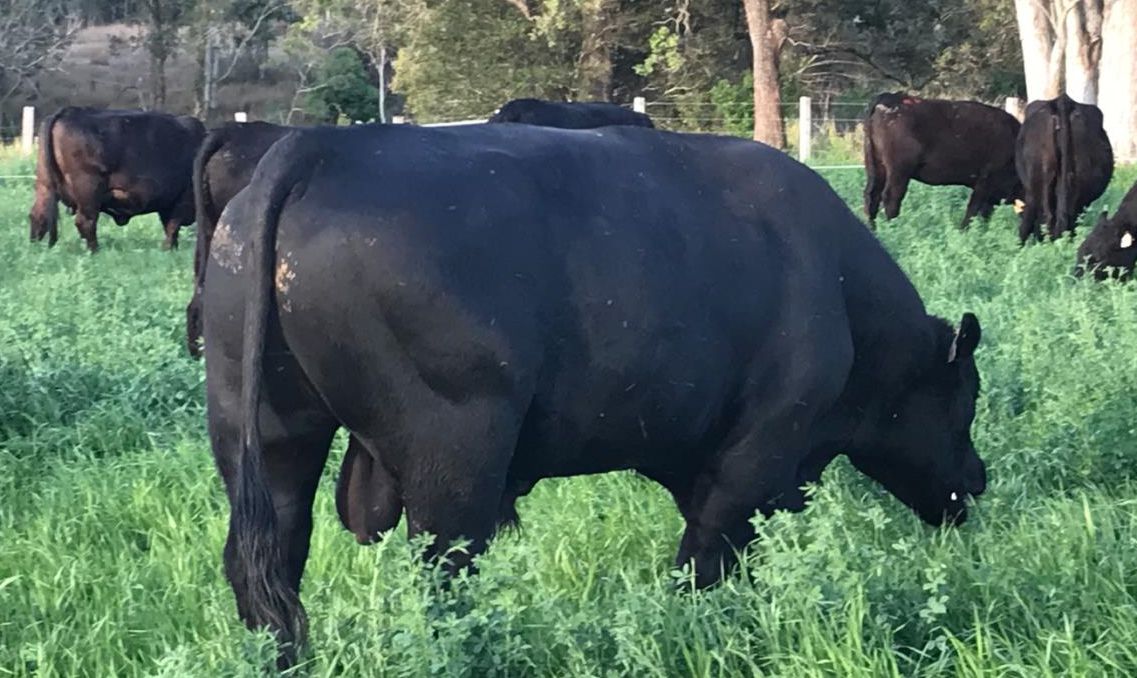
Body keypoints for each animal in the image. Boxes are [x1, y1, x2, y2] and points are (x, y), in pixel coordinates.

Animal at [28, 107, 205, 252]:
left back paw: (35, 248)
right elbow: (172, 227)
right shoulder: (183, 199)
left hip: (45, 185)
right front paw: (169, 249)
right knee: (86, 221)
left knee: (39, 215)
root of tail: (69, 112)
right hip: (88, 190)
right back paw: (95, 251)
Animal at [202, 123, 987, 666]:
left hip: (270, 435)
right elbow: (706, 560)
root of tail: (322, 147)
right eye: (966, 398)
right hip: (455, 462)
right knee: (440, 577)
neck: (839, 289)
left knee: (266, 568)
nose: (977, 480)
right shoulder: (755, 456)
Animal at [863, 92, 1022, 229]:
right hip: (899, 171)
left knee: (872, 196)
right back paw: (894, 229)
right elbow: (973, 211)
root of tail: (891, 97)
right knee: (891, 198)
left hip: (877, 167)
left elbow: (984, 214)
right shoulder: (984, 183)